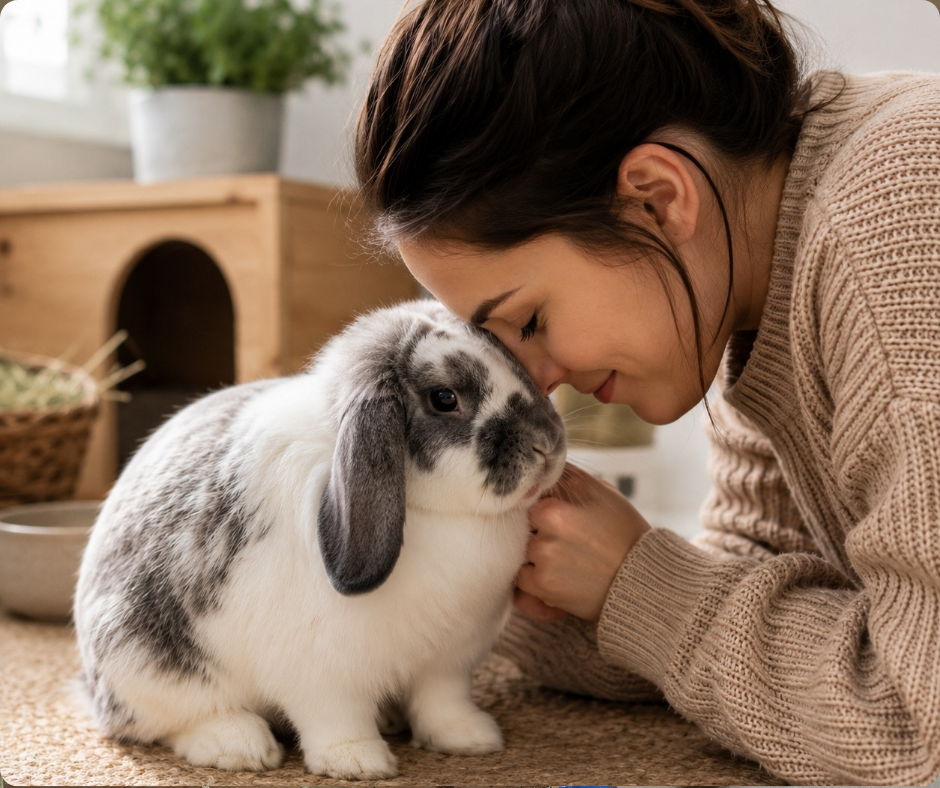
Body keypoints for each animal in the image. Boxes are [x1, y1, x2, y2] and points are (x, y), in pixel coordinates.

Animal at [73, 298, 567, 780]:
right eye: (445, 398)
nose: (547, 445)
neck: (435, 514)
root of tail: (93, 685)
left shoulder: (448, 662)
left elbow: (442, 703)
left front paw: (472, 739)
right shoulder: (323, 674)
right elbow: (336, 719)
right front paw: (358, 762)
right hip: (147, 664)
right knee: (169, 720)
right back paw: (239, 745)